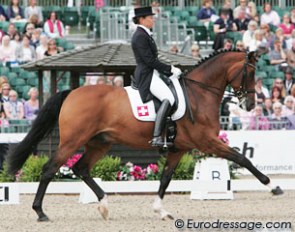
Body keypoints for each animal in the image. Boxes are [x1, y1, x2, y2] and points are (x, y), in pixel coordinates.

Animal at [8, 50, 284, 221]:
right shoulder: (207, 142)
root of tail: (71, 93)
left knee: (81, 168)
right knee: (49, 169)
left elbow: (165, 179)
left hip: (99, 143)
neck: (200, 94)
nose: (250, 104)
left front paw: (161, 211)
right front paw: (274, 186)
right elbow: (242, 158)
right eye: (250, 73)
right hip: (72, 140)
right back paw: (40, 212)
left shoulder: (179, 148)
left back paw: (104, 206)